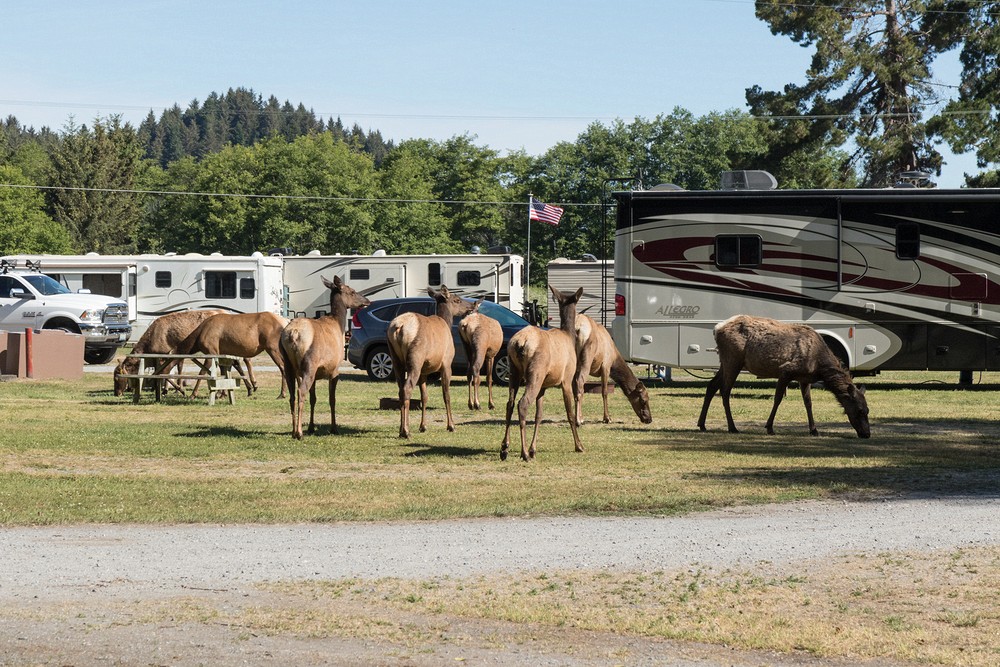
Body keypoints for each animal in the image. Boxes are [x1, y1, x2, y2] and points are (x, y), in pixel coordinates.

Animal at [279, 275, 369, 439]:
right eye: (352, 291)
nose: (367, 300)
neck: (339, 325)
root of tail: (293, 334)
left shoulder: (316, 374)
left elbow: (313, 399)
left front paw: (311, 427)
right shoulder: (334, 369)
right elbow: (332, 399)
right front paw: (334, 428)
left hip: (288, 363)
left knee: (292, 395)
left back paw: (294, 430)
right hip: (309, 363)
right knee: (301, 392)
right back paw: (299, 433)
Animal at [387, 286, 474, 439]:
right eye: (457, 300)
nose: (472, 305)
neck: (446, 322)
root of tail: (398, 327)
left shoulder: (424, 371)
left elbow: (425, 397)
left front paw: (423, 426)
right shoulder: (446, 364)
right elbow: (446, 395)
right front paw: (451, 425)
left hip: (395, 358)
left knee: (400, 390)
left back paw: (401, 429)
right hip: (415, 358)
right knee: (407, 389)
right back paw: (406, 431)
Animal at [500, 285, 584, 462]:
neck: (569, 336)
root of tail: (519, 343)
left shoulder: (544, 386)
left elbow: (539, 415)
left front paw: (534, 449)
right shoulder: (566, 379)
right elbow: (570, 413)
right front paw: (579, 446)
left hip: (514, 370)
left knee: (510, 403)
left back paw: (505, 448)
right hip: (535, 372)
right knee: (522, 403)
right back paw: (524, 453)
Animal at [697, 315, 871, 438]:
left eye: (868, 410)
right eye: (860, 410)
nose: (867, 434)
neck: (819, 364)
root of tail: (717, 328)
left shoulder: (805, 379)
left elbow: (808, 403)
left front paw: (814, 430)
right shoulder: (786, 371)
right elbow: (778, 399)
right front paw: (769, 427)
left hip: (725, 362)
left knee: (712, 385)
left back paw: (702, 424)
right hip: (733, 360)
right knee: (725, 390)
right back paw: (732, 427)